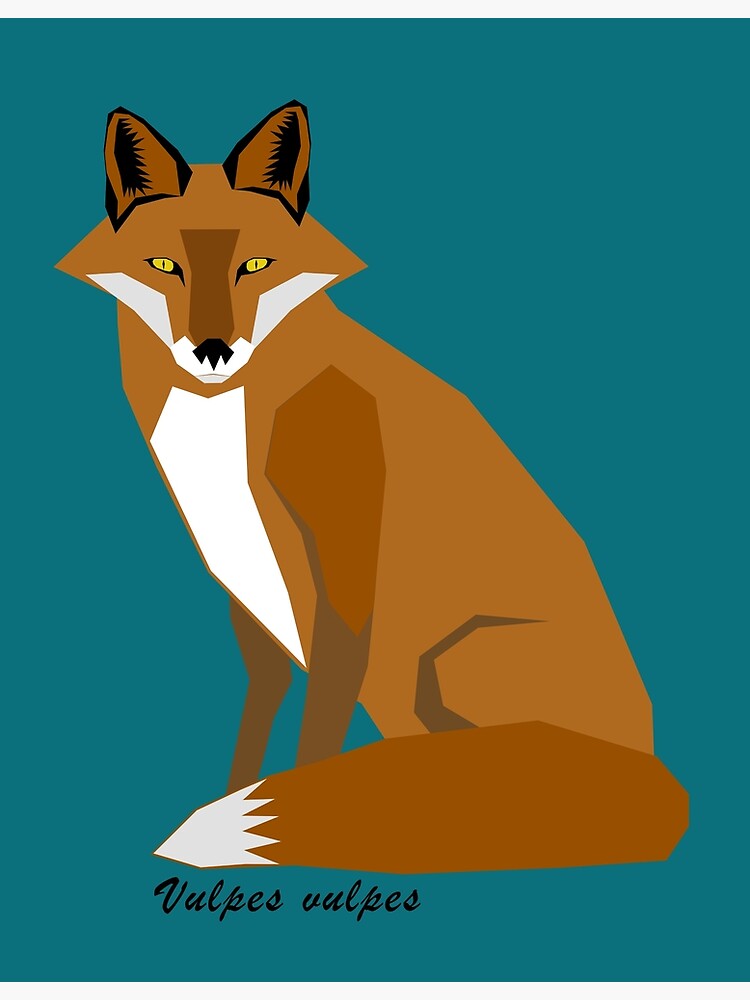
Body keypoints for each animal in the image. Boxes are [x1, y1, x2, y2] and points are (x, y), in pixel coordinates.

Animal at [57, 101, 688, 874]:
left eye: (255, 265)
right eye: (165, 265)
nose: (213, 352)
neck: (223, 425)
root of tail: (651, 761)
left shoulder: (343, 576)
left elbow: (319, 738)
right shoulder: (247, 587)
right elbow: (258, 718)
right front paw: (235, 791)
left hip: (438, 666)